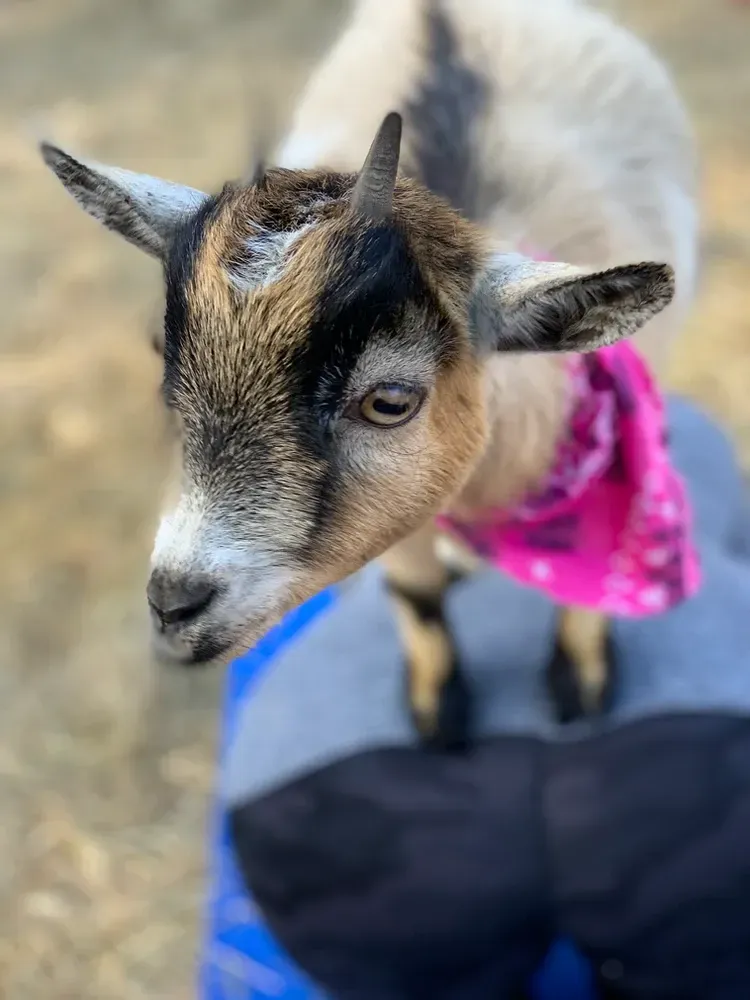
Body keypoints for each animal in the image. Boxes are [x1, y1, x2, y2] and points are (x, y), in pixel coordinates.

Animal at [40, 0, 698, 750]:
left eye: (389, 400)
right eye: (164, 353)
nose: (175, 605)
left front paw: (582, 679)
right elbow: (416, 591)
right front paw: (437, 708)